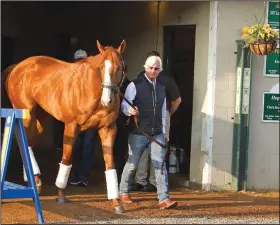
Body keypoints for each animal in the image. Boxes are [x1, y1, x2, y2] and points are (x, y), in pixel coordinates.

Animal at [4, 39, 126, 214]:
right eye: (101, 67)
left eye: (119, 67)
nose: (107, 101)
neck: (91, 90)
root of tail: (17, 67)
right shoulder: (71, 126)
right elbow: (67, 159)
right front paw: (61, 195)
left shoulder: (108, 129)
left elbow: (110, 165)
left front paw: (117, 203)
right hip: (26, 113)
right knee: (24, 141)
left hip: (41, 117)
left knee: (29, 141)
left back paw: (34, 179)